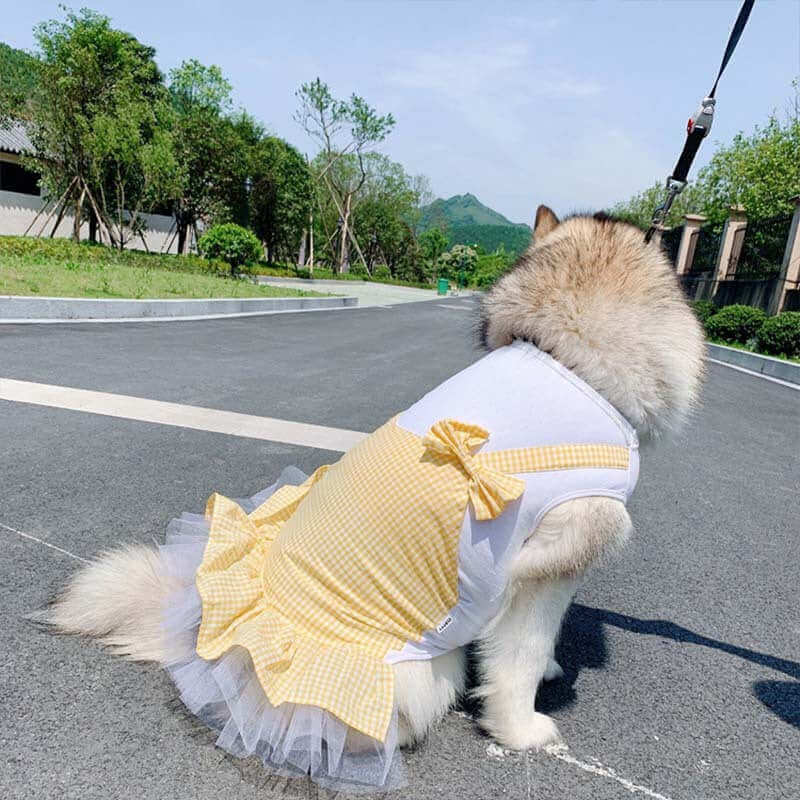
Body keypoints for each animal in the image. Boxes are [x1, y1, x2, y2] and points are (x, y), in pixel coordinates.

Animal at [42, 205, 708, 788]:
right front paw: (522, 731)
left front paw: (546, 672)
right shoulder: (548, 561)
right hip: (416, 673)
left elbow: (537, 641)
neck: (565, 357)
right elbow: (519, 658)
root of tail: (198, 644)